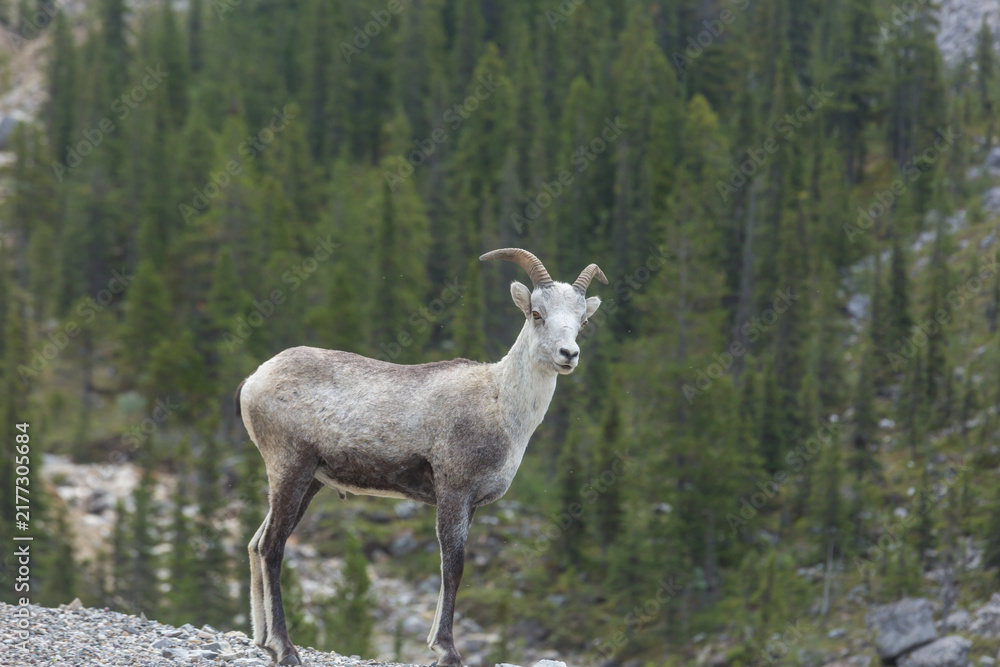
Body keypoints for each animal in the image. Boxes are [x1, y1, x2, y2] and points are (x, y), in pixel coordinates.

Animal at [236, 248, 606, 666]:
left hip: (308, 484)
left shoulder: (469, 504)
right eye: (537, 314)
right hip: (290, 470)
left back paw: (264, 640)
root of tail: (253, 381)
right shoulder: (453, 492)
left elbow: (449, 571)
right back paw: (285, 648)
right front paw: (447, 651)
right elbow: (453, 567)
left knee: (256, 543)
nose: (568, 354)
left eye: (582, 321)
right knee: (272, 547)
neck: (500, 404)